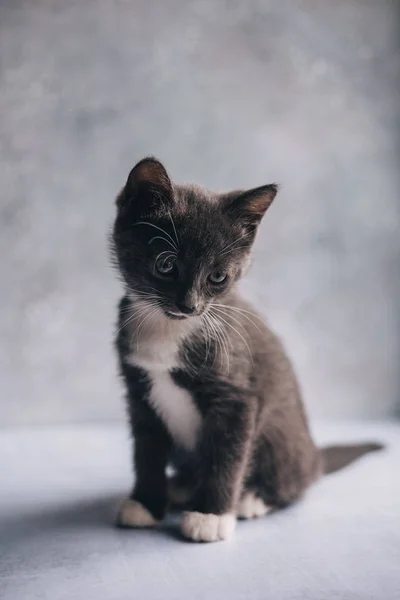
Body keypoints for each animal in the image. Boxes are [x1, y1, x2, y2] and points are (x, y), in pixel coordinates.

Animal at [111, 158, 382, 544]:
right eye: (165, 264)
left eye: (218, 277)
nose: (189, 305)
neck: (170, 329)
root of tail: (314, 454)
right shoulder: (139, 392)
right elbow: (147, 450)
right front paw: (146, 504)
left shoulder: (237, 398)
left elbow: (227, 457)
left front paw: (210, 516)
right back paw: (181, 486)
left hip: (282, 439)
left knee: (295, 482)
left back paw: (251, 498)